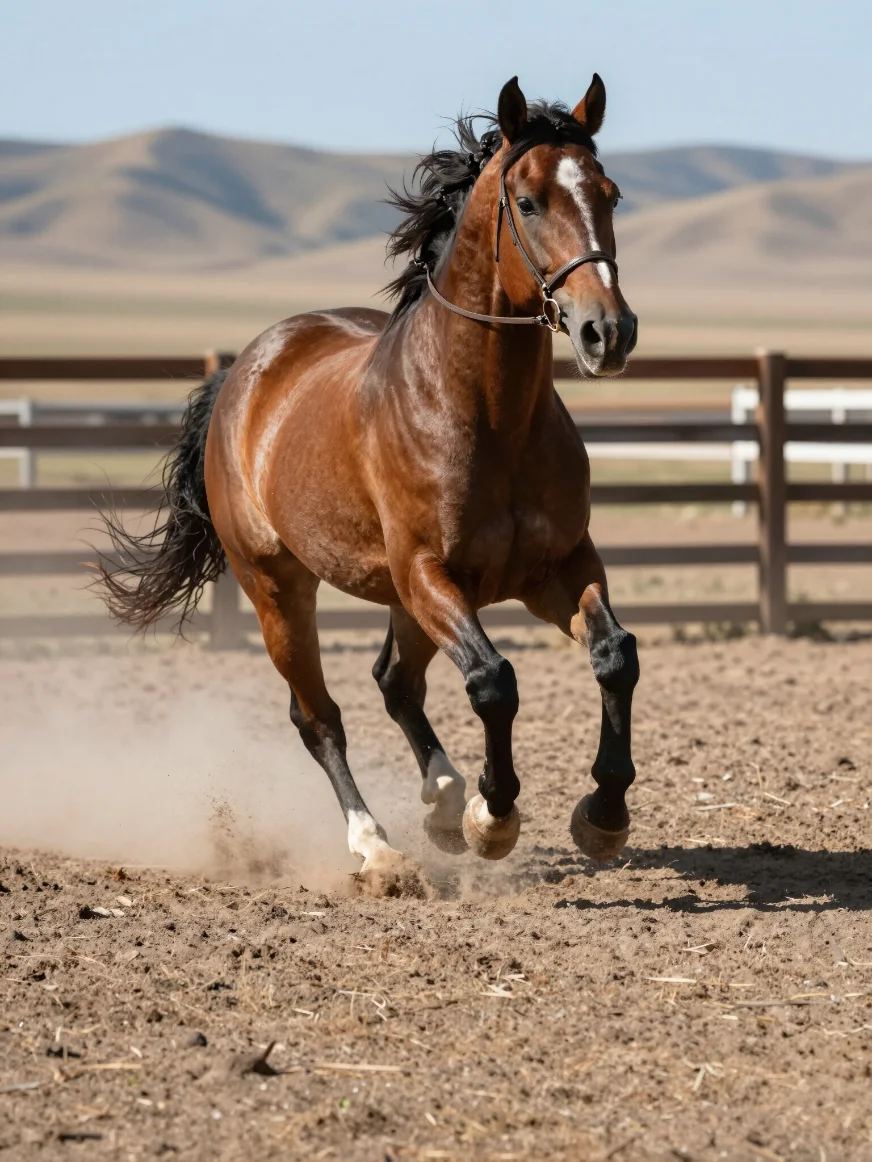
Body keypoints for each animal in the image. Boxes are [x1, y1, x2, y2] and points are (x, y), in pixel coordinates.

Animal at [98, 74, 639, 896]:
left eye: (610, 193)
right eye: (530, 201)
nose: (607, 333)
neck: (487, 414)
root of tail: (244, 373)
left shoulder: (558, 567)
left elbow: (614, 655)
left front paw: (602, 817)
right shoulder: (430, 574)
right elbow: (493, 681)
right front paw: (493, 820)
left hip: (399, 599)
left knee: (394, 682)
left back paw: (441, 801)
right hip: (280, 588)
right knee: (319, 715)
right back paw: (379, 847)